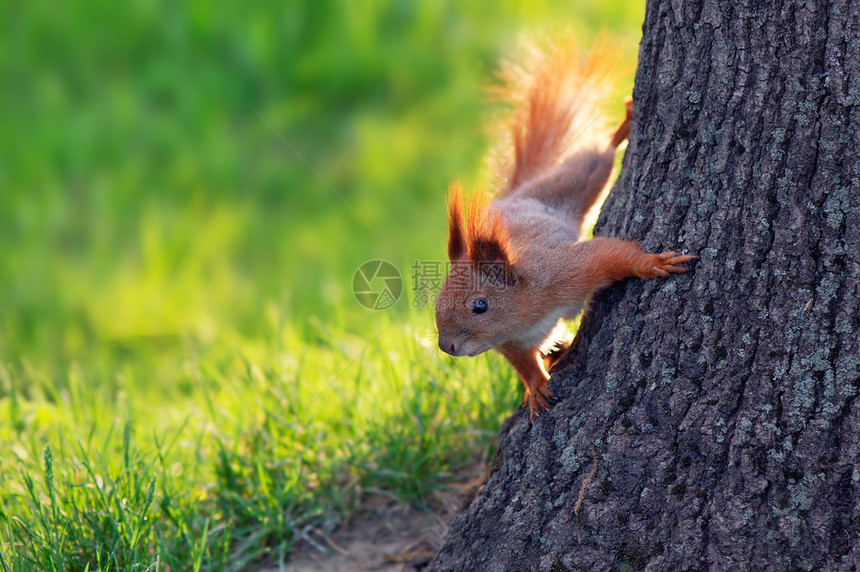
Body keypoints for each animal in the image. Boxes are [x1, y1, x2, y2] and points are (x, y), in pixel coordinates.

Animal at [436, 36, 700, 420]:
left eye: (480, 306)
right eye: (437, 301)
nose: (446, 346)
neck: (526, 312)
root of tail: (517, 195)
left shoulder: (564, 270)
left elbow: (608, 256)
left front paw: (652, 263)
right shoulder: (512, 341)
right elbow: (523, 363)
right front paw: (535, 387)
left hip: (572, 182)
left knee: (598, 155)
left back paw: (624, 125)